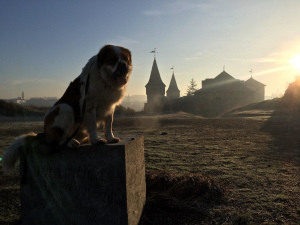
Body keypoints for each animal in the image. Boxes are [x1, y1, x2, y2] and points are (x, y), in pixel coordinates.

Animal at [1, 44, 132, 174]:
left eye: (125, 59)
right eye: (113, 60)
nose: (124, 65)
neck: (104, 80)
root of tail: (44, 133)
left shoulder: (110, 107)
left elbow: (109, 124)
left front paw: (110, 138)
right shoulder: (89, 107)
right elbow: (93, 125)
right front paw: (96, 140)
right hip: (65, 109)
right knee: (58, 139)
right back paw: (71, 142)